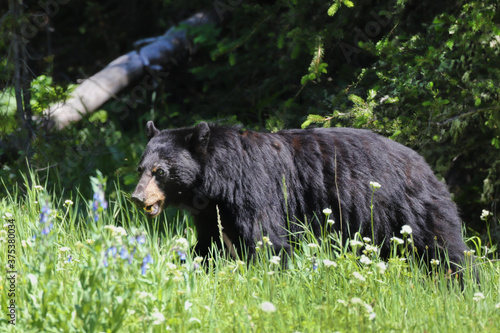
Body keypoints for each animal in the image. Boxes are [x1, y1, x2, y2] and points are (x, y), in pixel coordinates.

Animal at [132, 120, 468, 268]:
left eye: (160, 171)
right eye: (141, 168)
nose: (137, 198)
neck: (220, 179)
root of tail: (424, 165)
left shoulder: (256, 188)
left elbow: (267, 238)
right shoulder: (212, 209)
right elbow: (210, 243)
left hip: (409, 209)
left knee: (444, 249)